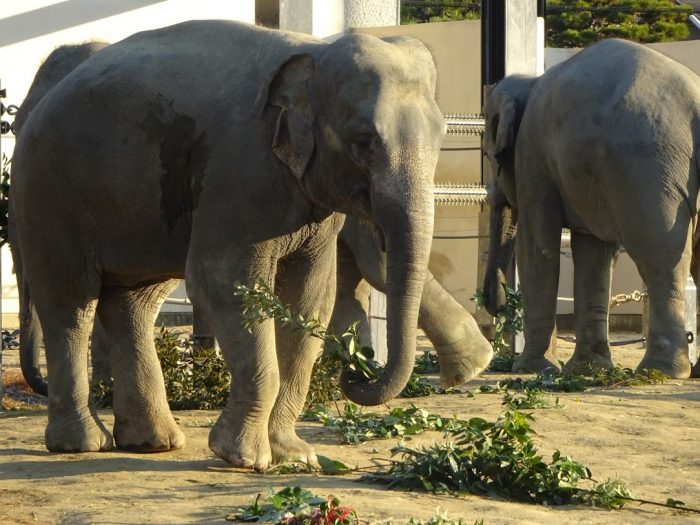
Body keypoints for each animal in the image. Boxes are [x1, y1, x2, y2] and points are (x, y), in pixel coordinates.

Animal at [10, 21, 446, 470]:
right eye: (362, 142)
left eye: (443, 136)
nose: (355, 370)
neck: (314, 51)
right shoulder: (239, 170)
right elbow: (223, 283)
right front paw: (244, 458)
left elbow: (309, 299)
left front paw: (295, 456)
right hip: (50, 193)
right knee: (71, 300)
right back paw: (83, 444)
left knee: (134, 301)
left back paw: (153, 442)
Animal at [482, 39, 700, 378]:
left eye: (490, 155)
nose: (496, 304)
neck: (529, 82)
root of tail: (695, 106)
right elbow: (593, 254)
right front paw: (586, 369)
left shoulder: (532, 156)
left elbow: (537, 249)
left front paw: (531, 368)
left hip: (647, 168)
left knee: (658, 256)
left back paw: (659, 372)